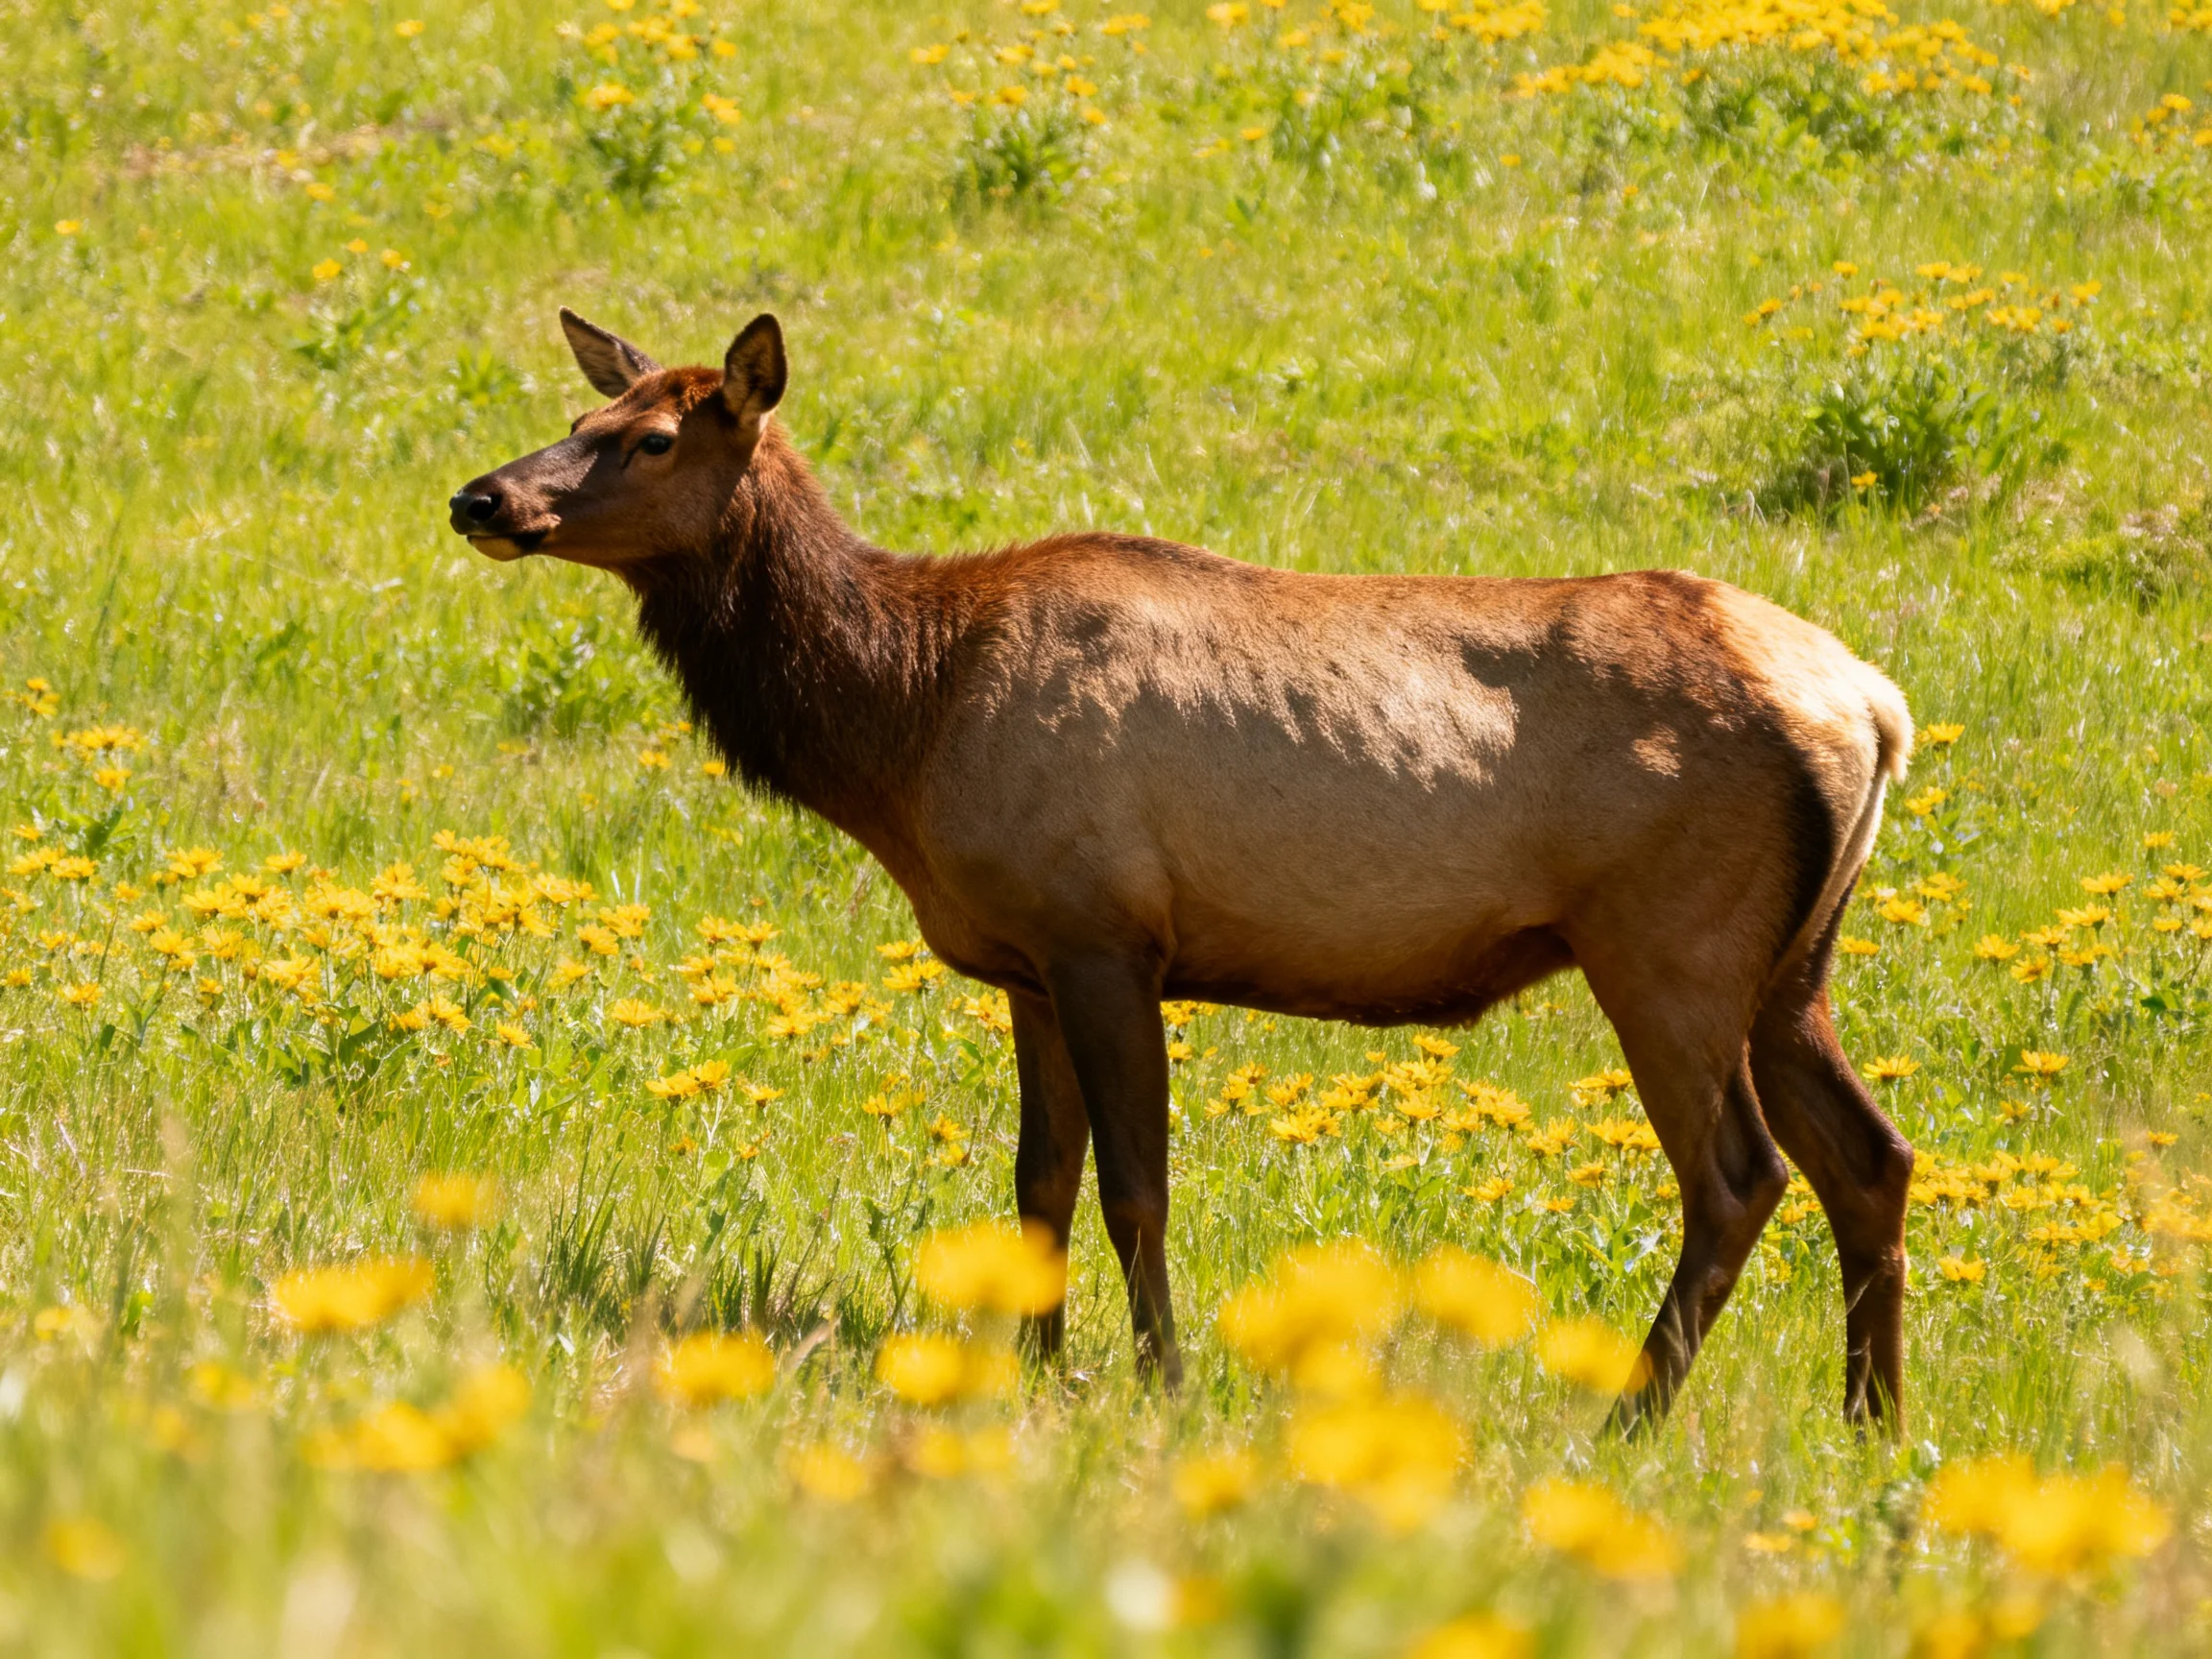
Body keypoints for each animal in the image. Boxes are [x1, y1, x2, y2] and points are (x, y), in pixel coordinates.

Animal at [449, 309, 1919, 1430]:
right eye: (582, 410)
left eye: (650, 437)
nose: (481, 496)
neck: (901, 725)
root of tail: (1874, 705)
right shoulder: (1025, 960)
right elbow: (1037, 1181)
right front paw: (1031, 1370)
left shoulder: (1107, 935)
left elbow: (1132, 1187)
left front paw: (1159, 1380)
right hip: (1793, 966)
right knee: (1873, 1156)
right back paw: (1872, 1425)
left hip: (1670, 943)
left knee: (1739, 1175)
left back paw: (1627, 1418)